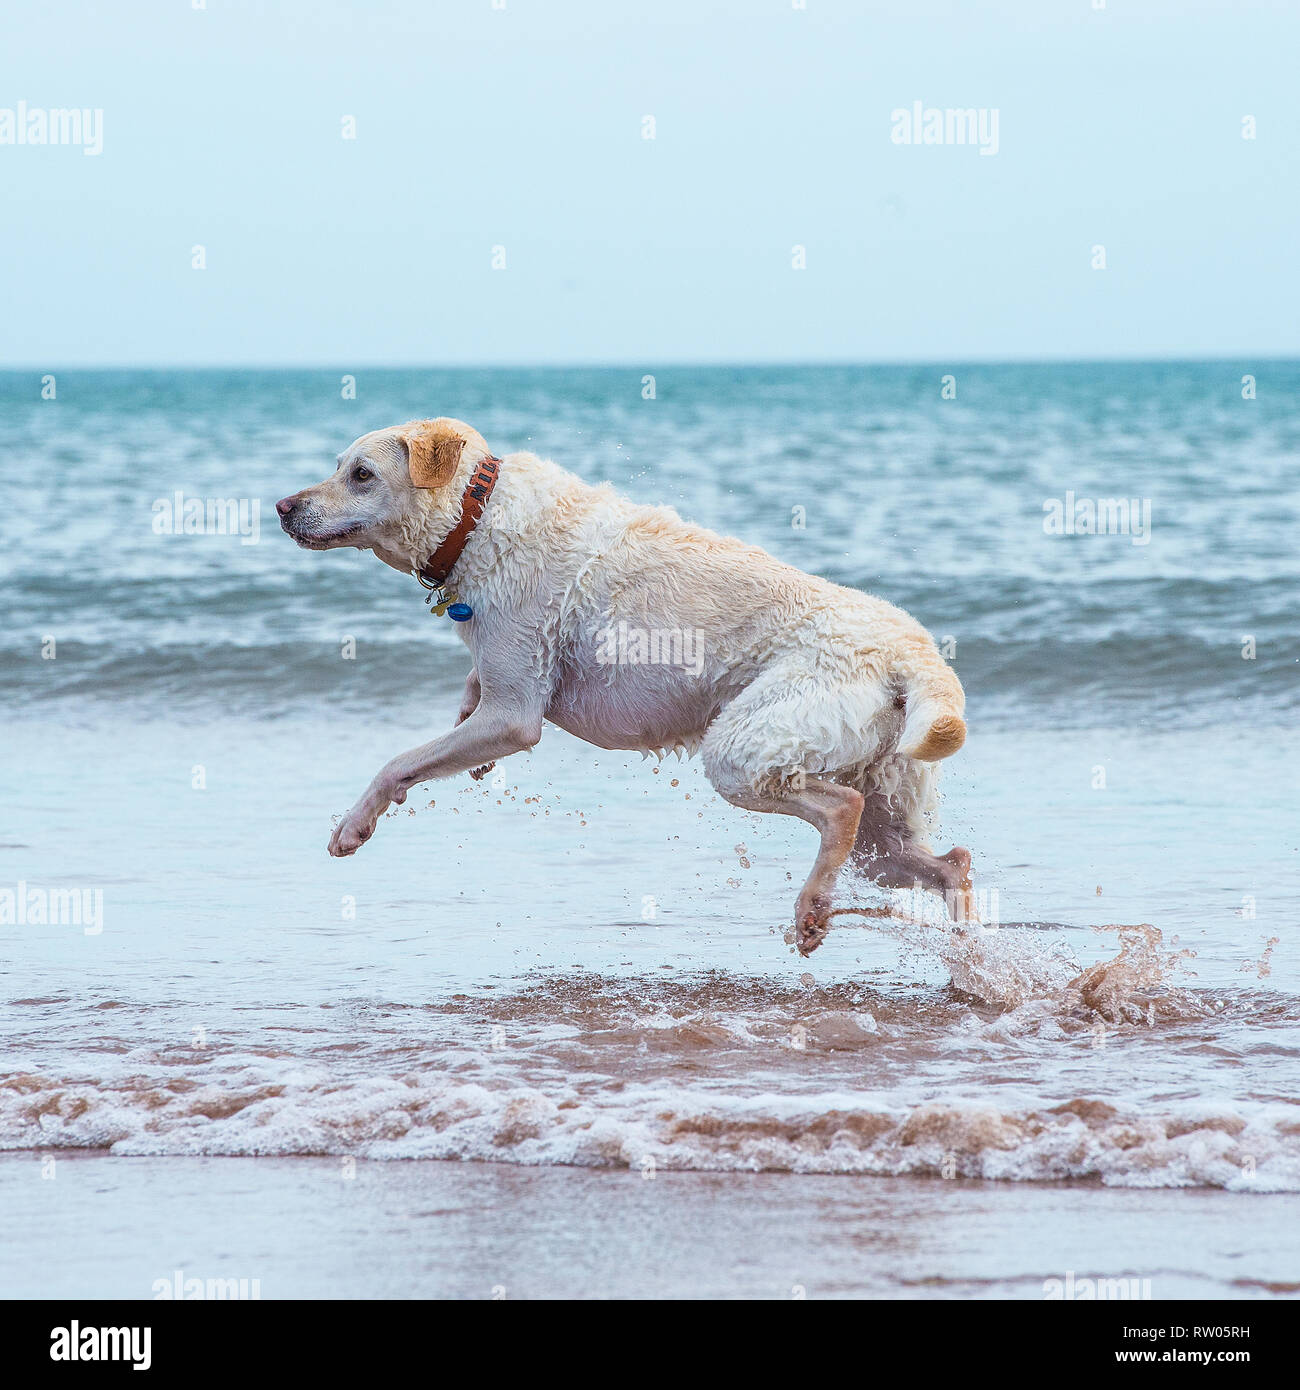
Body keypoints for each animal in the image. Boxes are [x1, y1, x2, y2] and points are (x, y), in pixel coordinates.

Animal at [279, 417, 973, 950]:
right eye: (337, 466)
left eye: (361, 474)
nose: (284, 508)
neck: (473, 516)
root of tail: (914, 657)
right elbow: (465, 703)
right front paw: (467, 750)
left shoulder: (514, 715)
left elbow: (401, 761)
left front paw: (354, 825)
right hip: (884, 811)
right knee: (949, 865)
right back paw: (969, 955)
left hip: (748, 750)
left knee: (840, 810)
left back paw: (811, 910)